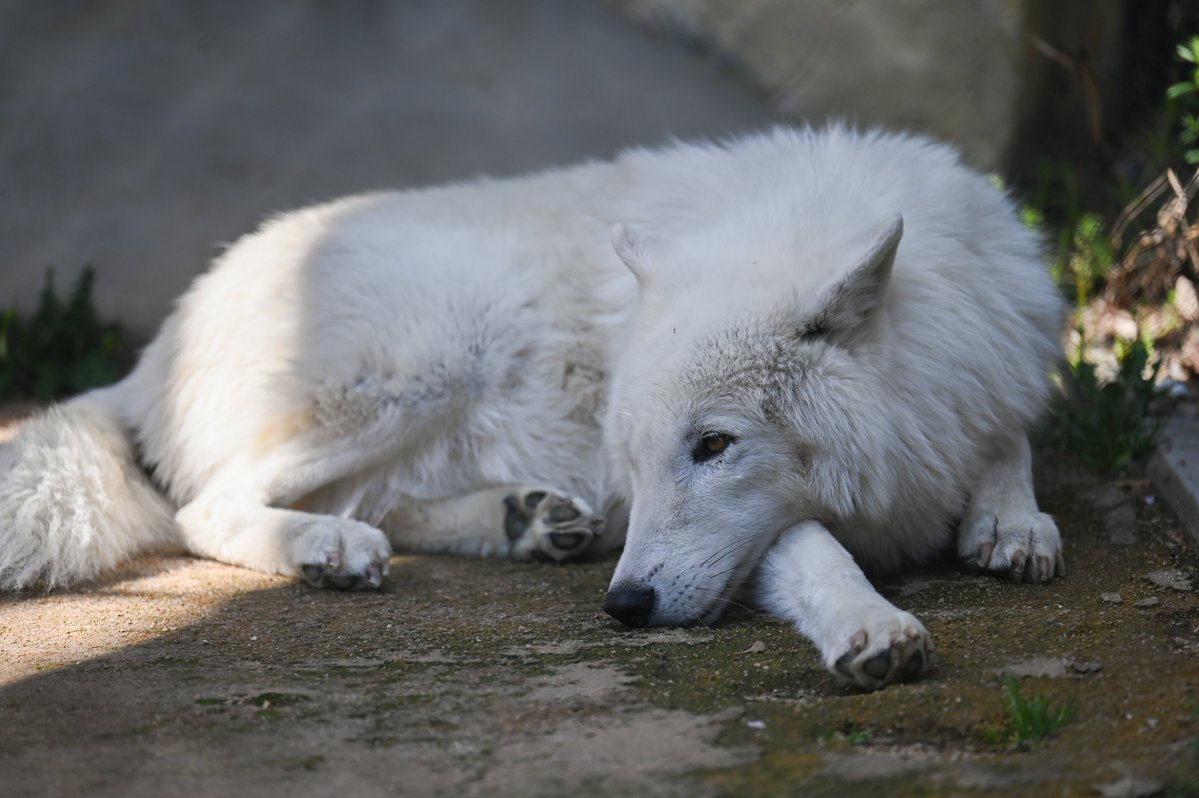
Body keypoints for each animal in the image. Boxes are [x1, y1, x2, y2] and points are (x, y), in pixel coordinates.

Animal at [0, 126, 1064, 689]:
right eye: (638, 458)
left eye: (714, 445)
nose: (624, 608)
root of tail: (157, 345)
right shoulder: (763, 527)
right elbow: (815, 548)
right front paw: (871, 627)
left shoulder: (987, 368)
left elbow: (1009, 439)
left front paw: (1013, 523)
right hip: (442, 342)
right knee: (205, 506)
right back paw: (329, 551)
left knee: (369, 501)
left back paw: (524, 521)